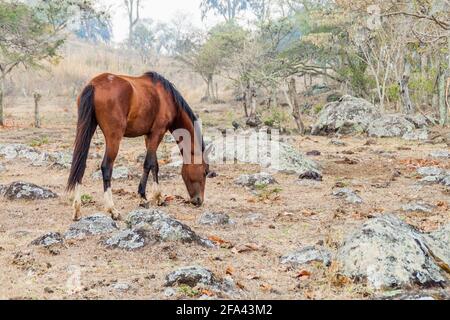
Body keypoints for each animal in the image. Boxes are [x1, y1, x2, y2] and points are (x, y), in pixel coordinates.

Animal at [66, 71, 209, 221]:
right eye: (205, 172)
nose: (199, 200)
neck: (167, 98)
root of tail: (94, 85)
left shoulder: (149, 136)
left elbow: (154, 165)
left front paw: (158, 197)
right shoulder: (158, 133)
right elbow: (148, 164)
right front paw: (143, 197)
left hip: (87, 130)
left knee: (80, 165)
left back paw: (77, 209)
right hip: (114, 138)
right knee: (106, 167)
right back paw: (112, 209)